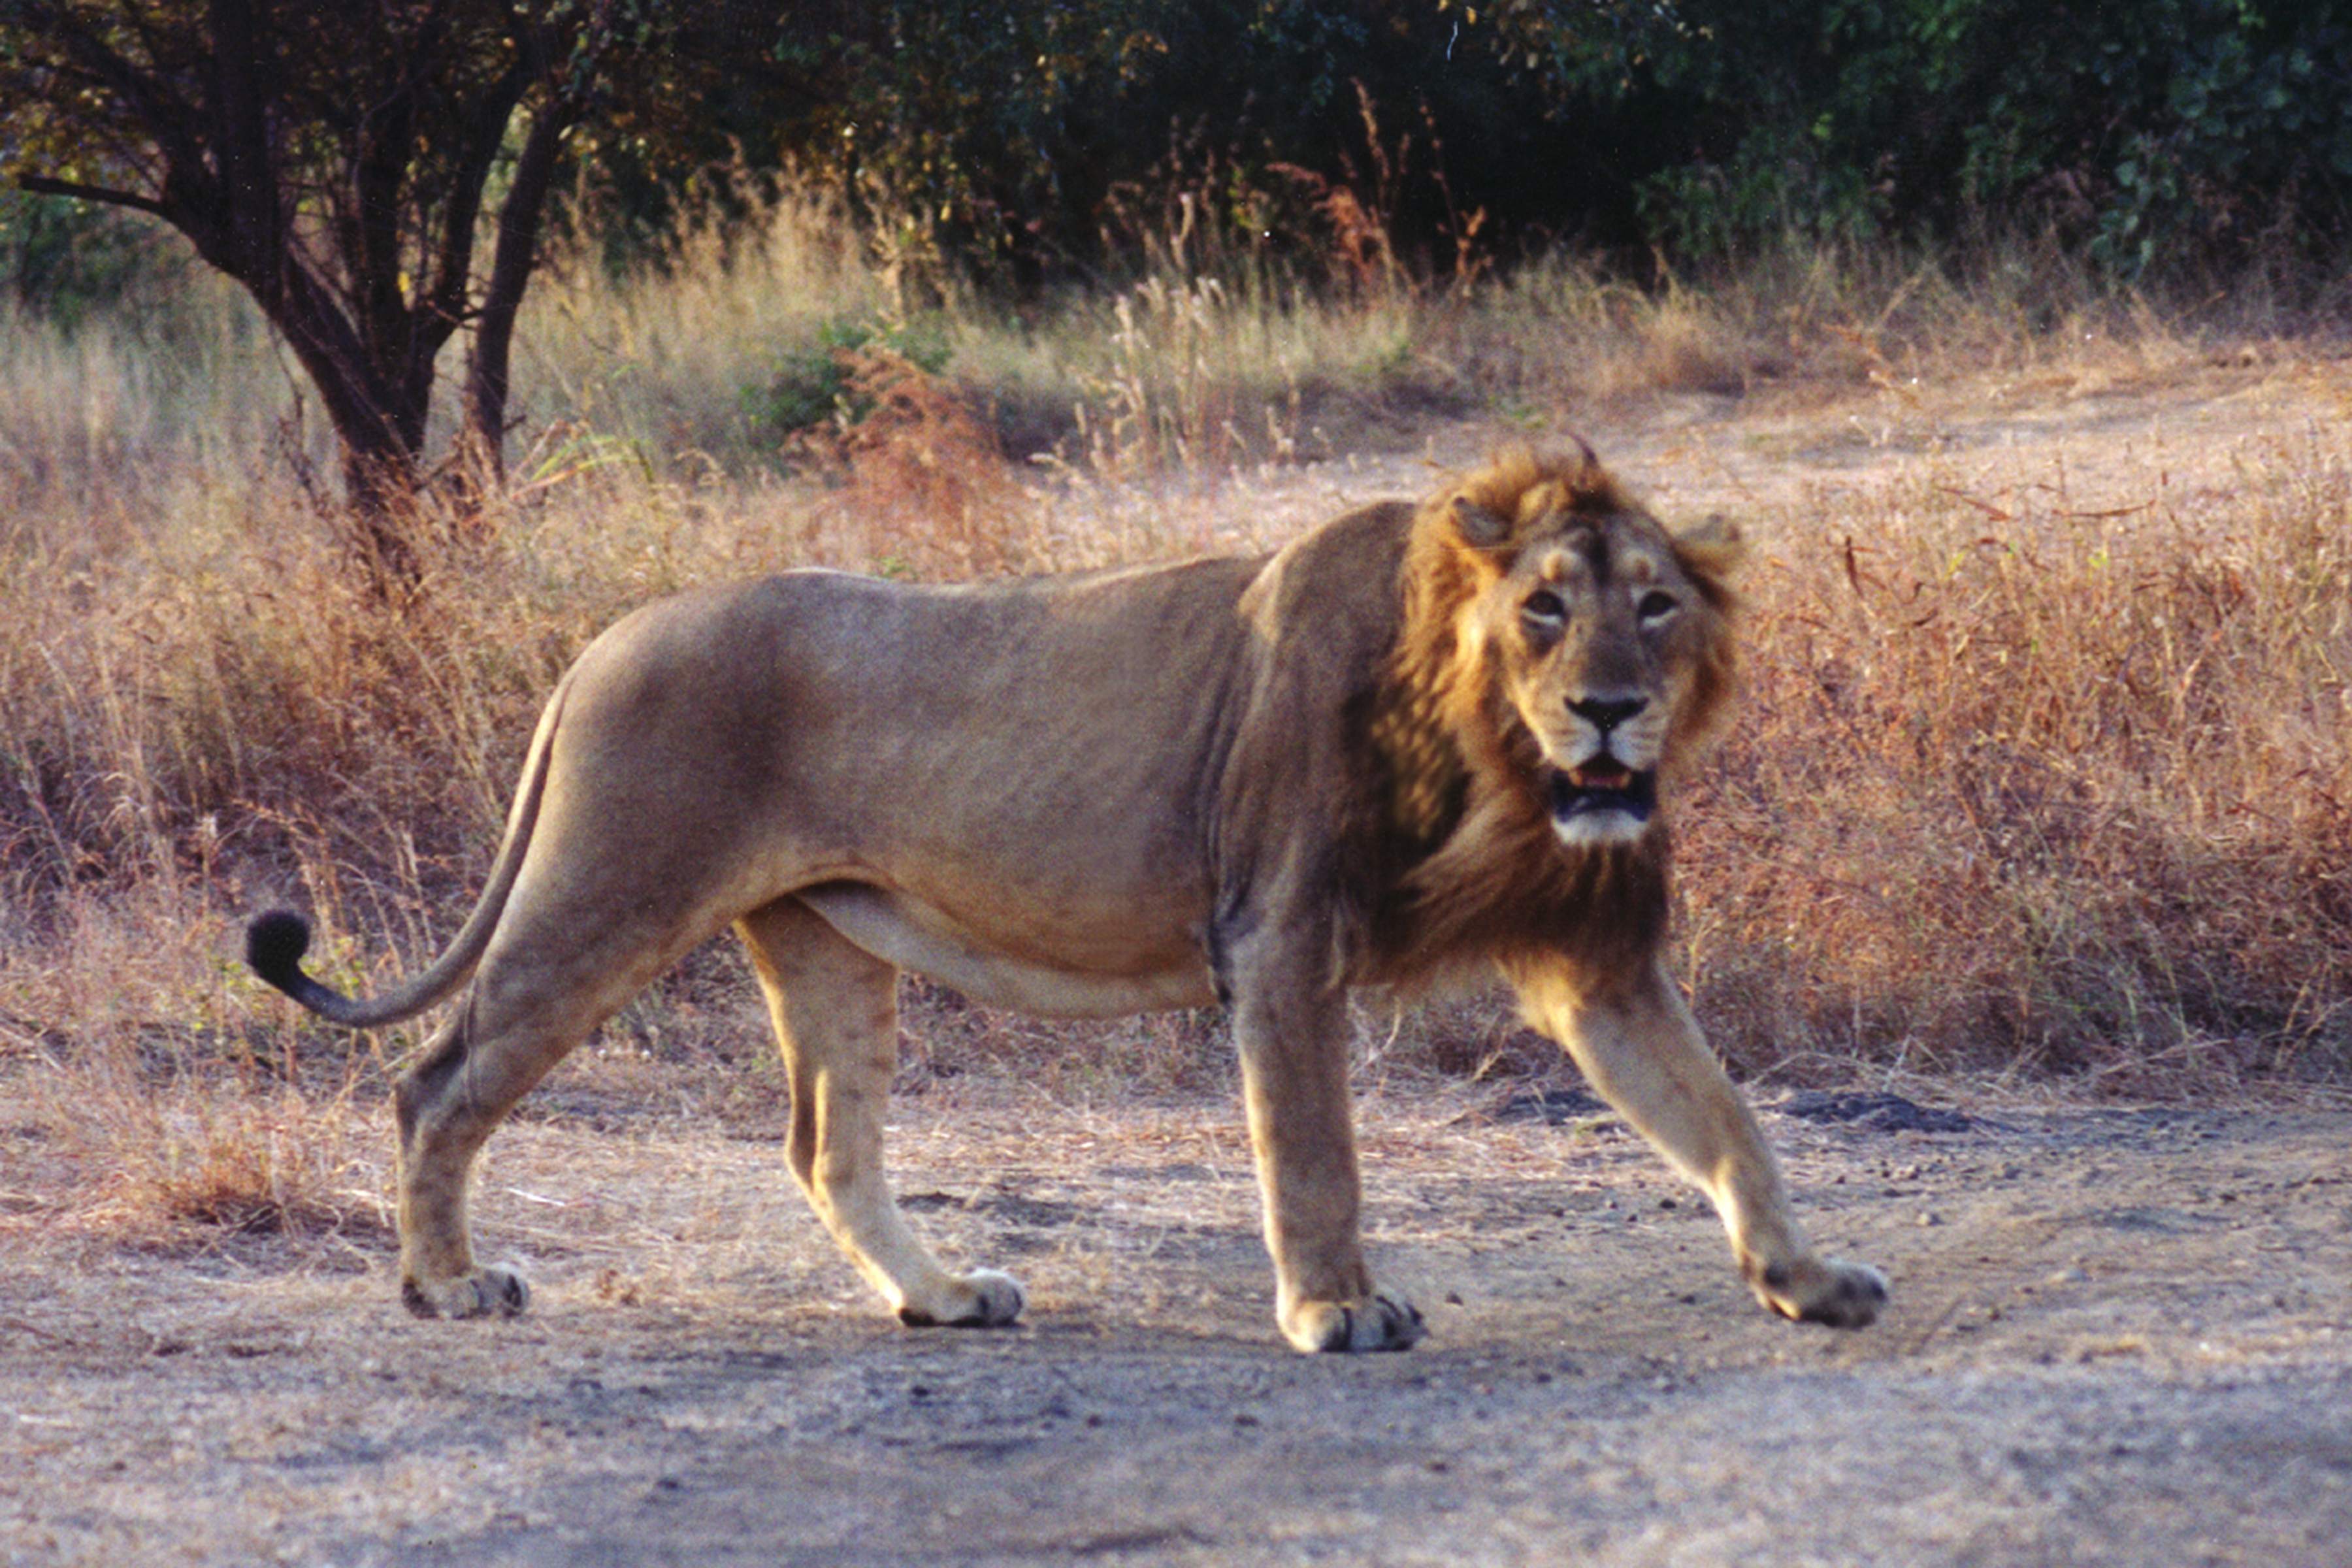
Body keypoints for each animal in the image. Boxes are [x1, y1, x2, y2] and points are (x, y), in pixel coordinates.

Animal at [243, 439, 1891, 1354]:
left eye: (1654, 603)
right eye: (1544, 607)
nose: (1613, 711)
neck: (1497, 755)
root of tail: (602, 640)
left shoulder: (1593, 954)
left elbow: (1724, 1118)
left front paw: (1805, 1278)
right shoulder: (1277, 936)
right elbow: (1316, 1153)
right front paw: (1338, 1311)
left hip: (826, 943)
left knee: (826, 1147)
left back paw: (943, 1297)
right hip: (608, 892)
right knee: (436, 1080)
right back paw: (451, 1287)